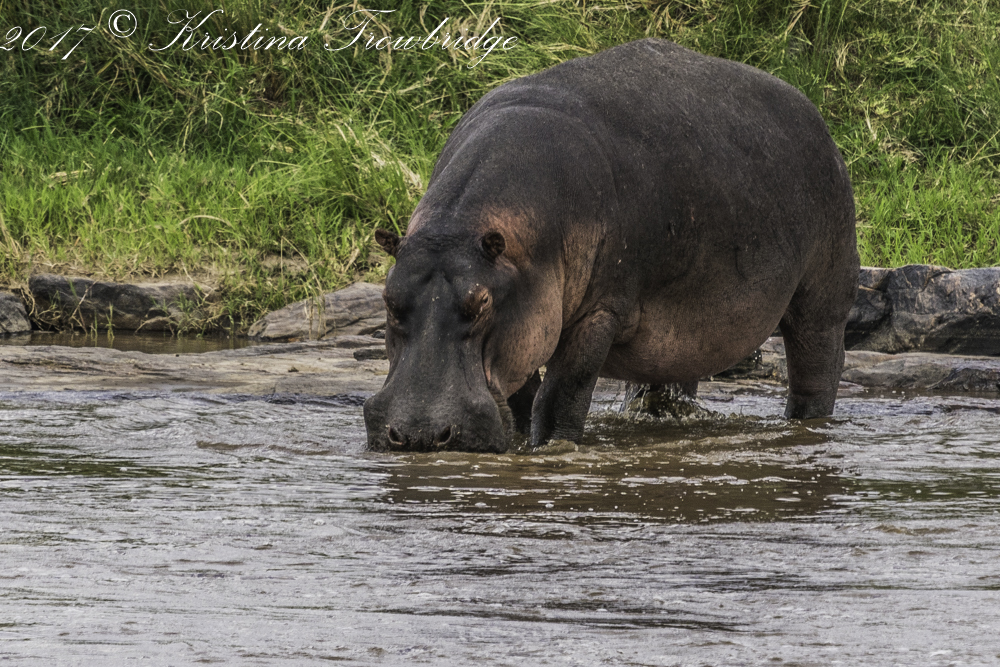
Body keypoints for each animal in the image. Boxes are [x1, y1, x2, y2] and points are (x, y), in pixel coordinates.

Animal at [363, 38, 859, 452]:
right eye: (387, 299)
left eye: (481, 302)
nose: (419, 435)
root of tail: (816, 117)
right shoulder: (524, 319)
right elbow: (521, 394)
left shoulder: (597, 311)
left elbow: (561, 394)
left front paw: (552, 448)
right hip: (685, 328)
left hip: (822, 298)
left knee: (817, 371)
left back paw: (808, 425)